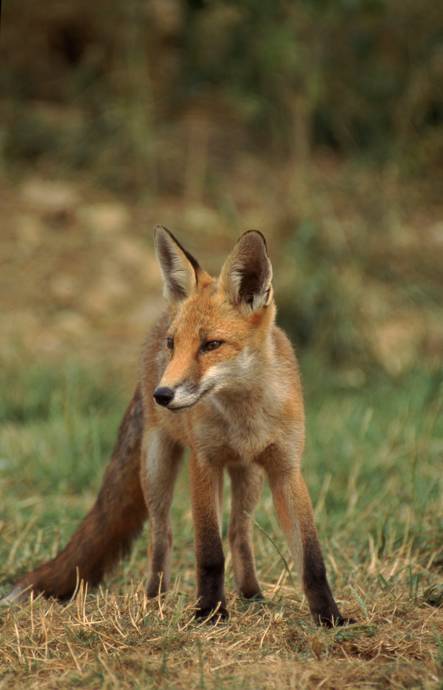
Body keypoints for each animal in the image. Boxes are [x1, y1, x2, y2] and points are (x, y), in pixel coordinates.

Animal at [3, 226, 350, 624]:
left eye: (211, 344)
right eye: (173, 344)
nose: (162, 394)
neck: (244, 418)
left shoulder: (286, 469)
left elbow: (311, 558)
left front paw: (330, 617)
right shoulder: (204, 463)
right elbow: (209, 552)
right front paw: (210, 611)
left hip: (248, 477)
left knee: (239, 532)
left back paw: (251, 595)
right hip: (157, 466)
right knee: (162, 534)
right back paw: (155, 597)